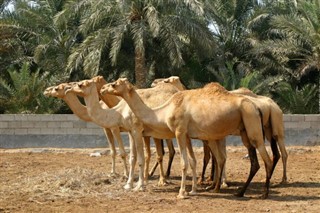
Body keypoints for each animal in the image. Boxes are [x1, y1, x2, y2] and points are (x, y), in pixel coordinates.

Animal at [101, 78, 276, 200]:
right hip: (244, 128)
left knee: (266, 159)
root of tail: (257, 107)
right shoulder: (186, 135)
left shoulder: (179, 131)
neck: (164, 110)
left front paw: (181, 193)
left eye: (114, 84)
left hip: (251, 122)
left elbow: (184, 163)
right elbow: (192, 161)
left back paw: (264, 194)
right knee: (251, 161)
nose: (103, 89)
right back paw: (237, 192)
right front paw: (192, 190)